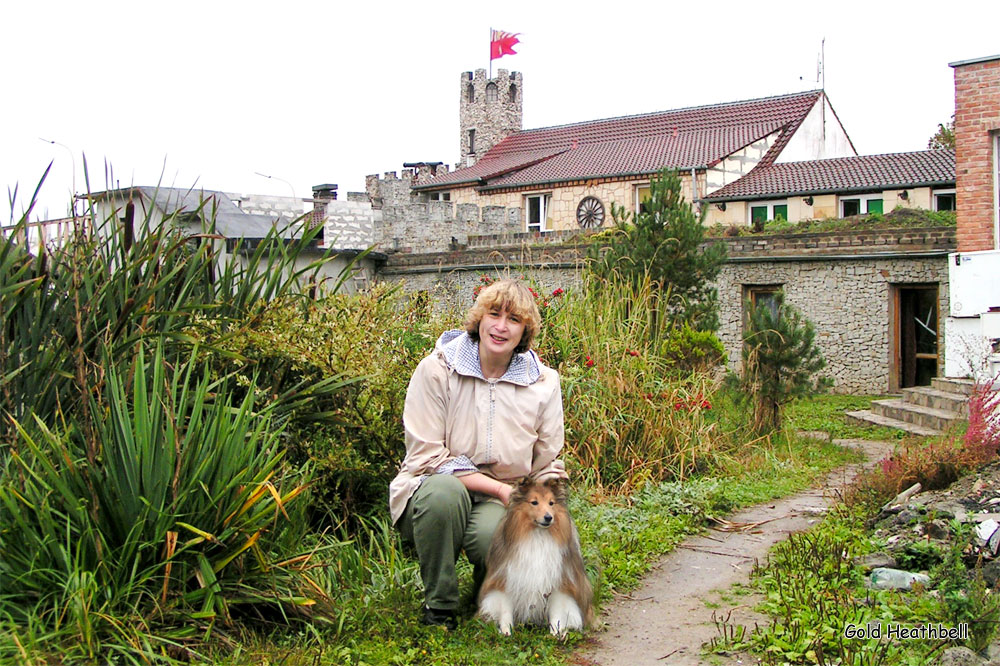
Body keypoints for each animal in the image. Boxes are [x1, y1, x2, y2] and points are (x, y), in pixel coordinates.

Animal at [478, 474, 592, 636]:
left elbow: (557, 611)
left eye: (551, 503)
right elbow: (505, 609)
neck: (538, 535)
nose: (548, 517)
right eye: (534, 502)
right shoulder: (506, 578)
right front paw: (506, 631)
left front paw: (556, 633)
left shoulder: (559, 583)